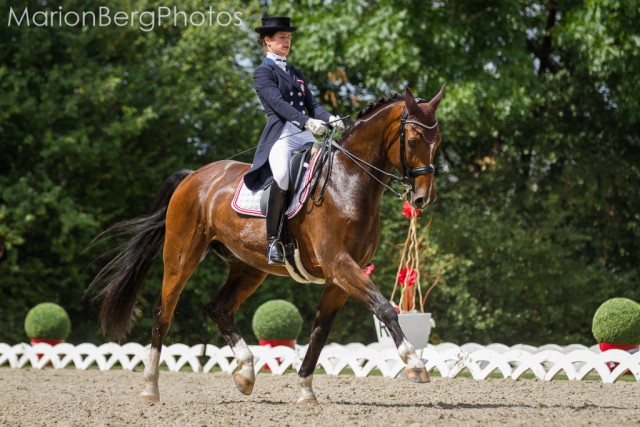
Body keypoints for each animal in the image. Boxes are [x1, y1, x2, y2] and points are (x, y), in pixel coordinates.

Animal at [87, 87, 442, 404]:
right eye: (413, 141)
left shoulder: (340, 277)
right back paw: (150, 389)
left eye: (436, 142)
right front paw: (415, 364)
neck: (348, 182)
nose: (423, 199)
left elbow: (320, 331)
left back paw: (246, 374)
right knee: (164, 312)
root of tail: (193, 177)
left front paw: (305, 390)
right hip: (181, 256)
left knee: (218, 308)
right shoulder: (340, 264)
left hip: (248, 268)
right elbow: (384, 308)